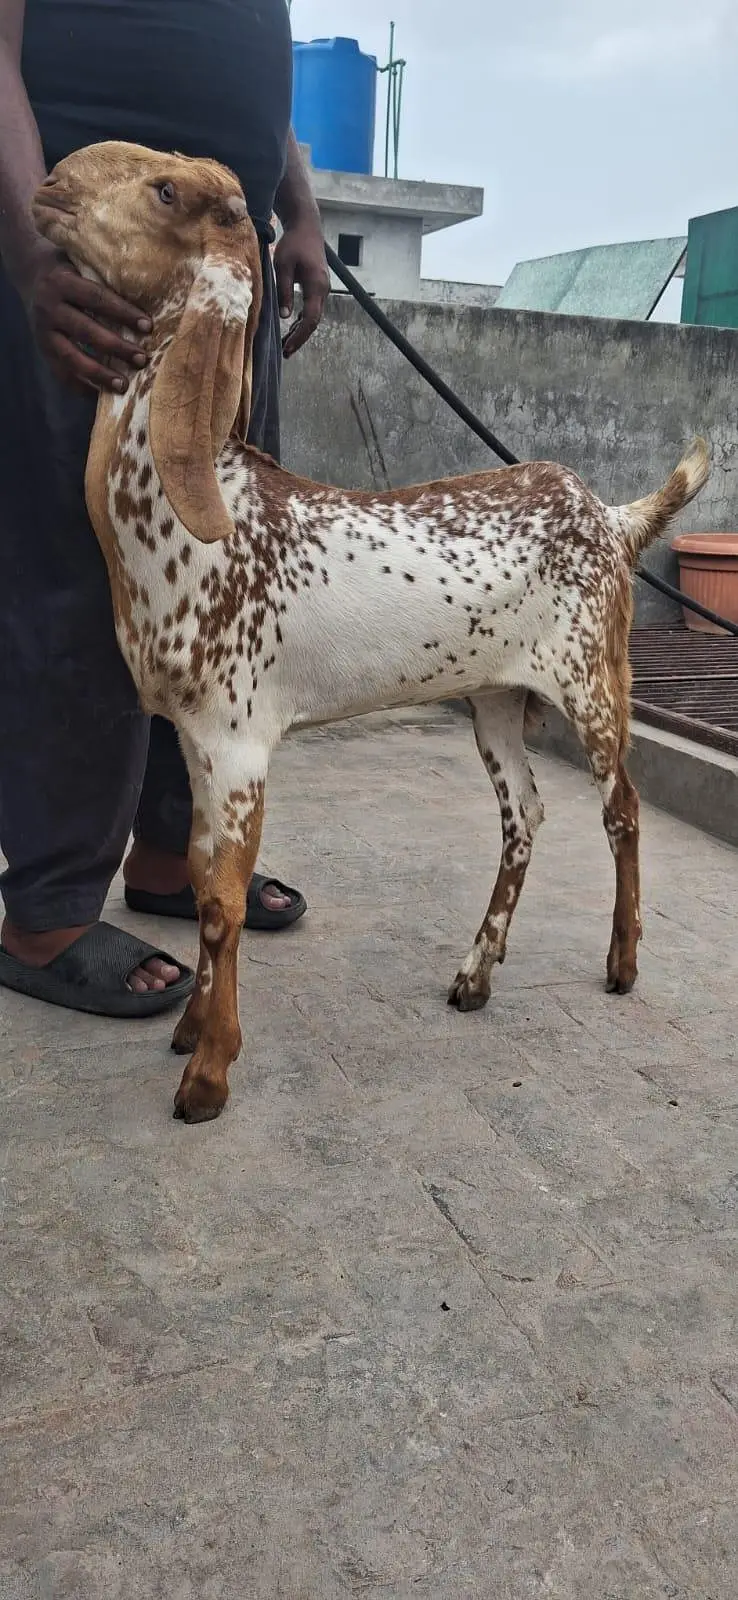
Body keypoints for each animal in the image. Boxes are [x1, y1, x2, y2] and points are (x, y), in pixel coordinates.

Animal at [33, 142, 709, 1123]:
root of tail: (612, 517)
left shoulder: (239, 740)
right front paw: (191, 1029)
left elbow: (222, 902)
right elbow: (196, 874)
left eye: (165, 190)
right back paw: (476, 972)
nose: (51, 182)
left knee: (620, 806)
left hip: (593, 675)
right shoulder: (196, 737)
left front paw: (209, 1074)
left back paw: (621, 962)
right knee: (525, 813)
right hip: (494, 697)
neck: (206, 511)